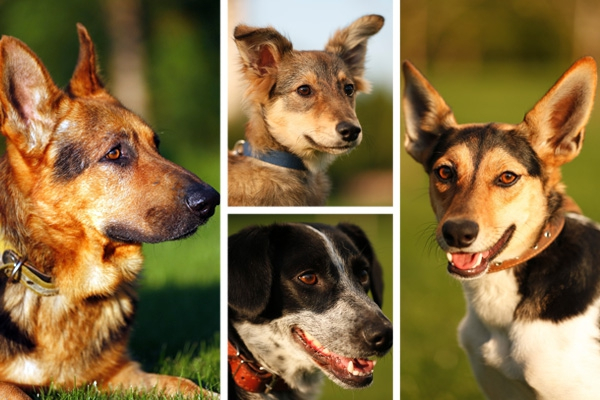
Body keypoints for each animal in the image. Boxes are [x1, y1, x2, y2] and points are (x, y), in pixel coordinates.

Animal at [0, 24, 219, 396]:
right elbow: (17, 389)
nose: (212, 201)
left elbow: (187, 384)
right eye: (114, 153)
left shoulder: (121, 374)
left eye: (156, 145)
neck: (59, 287)